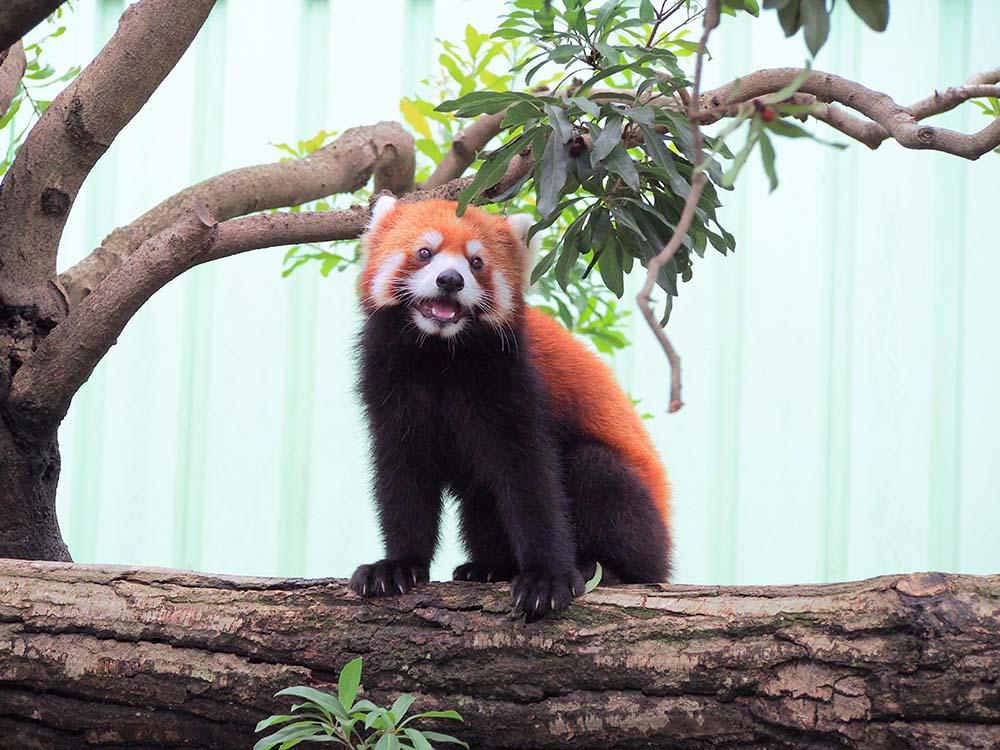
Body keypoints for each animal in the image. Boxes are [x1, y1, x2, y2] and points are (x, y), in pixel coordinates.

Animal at [352, 194, 672, 624]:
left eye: (476, 262)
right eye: (424, 253)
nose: (450, 280)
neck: (441, 355)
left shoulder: (515, 384)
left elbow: (531, 481)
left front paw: (547, 578)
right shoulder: (391, 390)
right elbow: (404, 478)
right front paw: (397, 565)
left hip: (640, 512)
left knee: (595, 471)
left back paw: (608, 570)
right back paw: (489, 567)